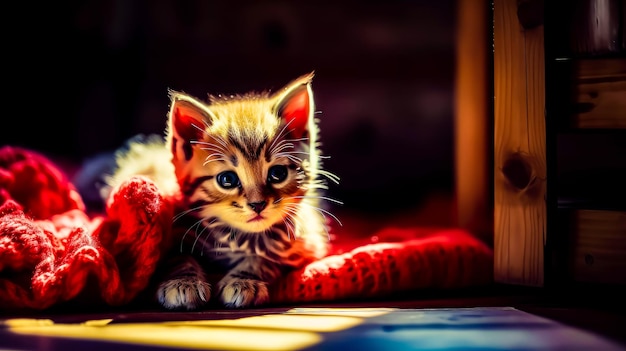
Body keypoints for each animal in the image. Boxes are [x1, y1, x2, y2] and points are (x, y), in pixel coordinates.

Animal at [109, 73, 338, 310]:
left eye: (278, 173)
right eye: (227, 179)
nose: (257, 204)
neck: (239, 237)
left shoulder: (306, 243)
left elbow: (263, 258)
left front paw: (244, 280)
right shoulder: (176, 231)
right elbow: (178, 257)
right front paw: (183, 281)